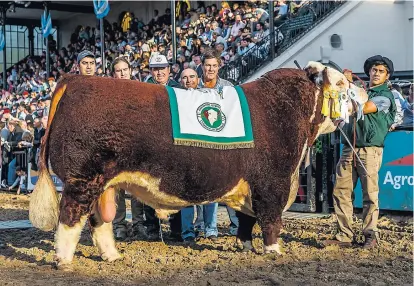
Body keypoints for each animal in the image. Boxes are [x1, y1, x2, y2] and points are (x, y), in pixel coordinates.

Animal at [29, 61, 366, 270]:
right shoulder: (274, 181)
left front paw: (245, 246)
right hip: (83, 179)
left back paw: (112, 256)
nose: (362, 89)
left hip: (102, 184)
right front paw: (273, 251)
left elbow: (247, 219)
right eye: (340, 82)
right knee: (71, 216)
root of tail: (76, 79)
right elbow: (270, 219)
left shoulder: (250, 184)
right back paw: (64, 260)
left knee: (99, 220)